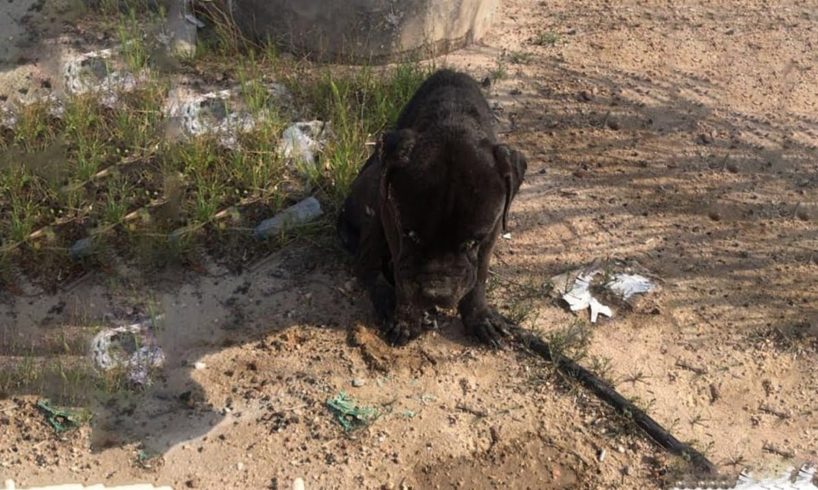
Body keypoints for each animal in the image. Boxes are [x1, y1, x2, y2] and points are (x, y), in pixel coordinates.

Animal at [334, 69, 524, 346]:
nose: (436, 294)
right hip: (374, 198)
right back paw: (386, 300)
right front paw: (405, 319)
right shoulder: (391, 221)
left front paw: (480, 317)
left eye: (471, 243)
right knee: (366, 263)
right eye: (411, 235)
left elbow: (479, 274)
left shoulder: (491, 231)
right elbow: (402, 275)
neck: (453, 116)